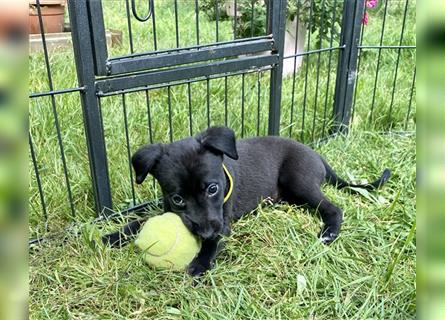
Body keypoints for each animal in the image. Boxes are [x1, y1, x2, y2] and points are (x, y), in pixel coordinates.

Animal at [104, 126, 388, 276]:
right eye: (177, 198)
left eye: (213, 189)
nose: (205, 233)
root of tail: (317, 155)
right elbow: (141, 219)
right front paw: (114, 235)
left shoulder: (222, 221)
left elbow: (213, 243)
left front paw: (200, 264)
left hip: (299, 182)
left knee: (334, 208)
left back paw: (329, 231)